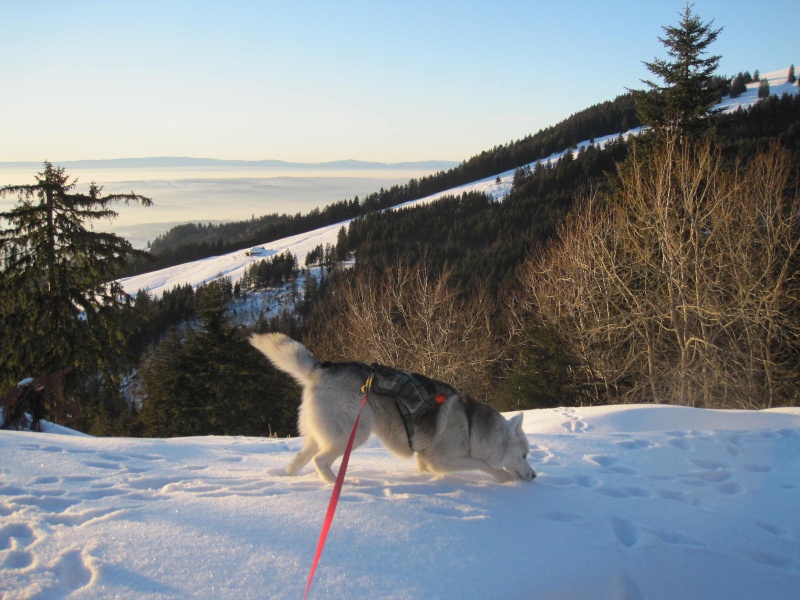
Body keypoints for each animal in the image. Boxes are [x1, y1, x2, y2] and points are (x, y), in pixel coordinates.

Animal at [248, 332, 536, 482]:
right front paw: (503, 477)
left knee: (301, 458)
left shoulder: (427, 459)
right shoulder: (442, 459)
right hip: (355, 433)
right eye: (524, 455)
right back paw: (337, 483)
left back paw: (287, 475)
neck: (470, 424)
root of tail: (319, 369)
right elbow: (483, 464)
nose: (533, 475)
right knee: (320, 461)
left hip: (323, 435)